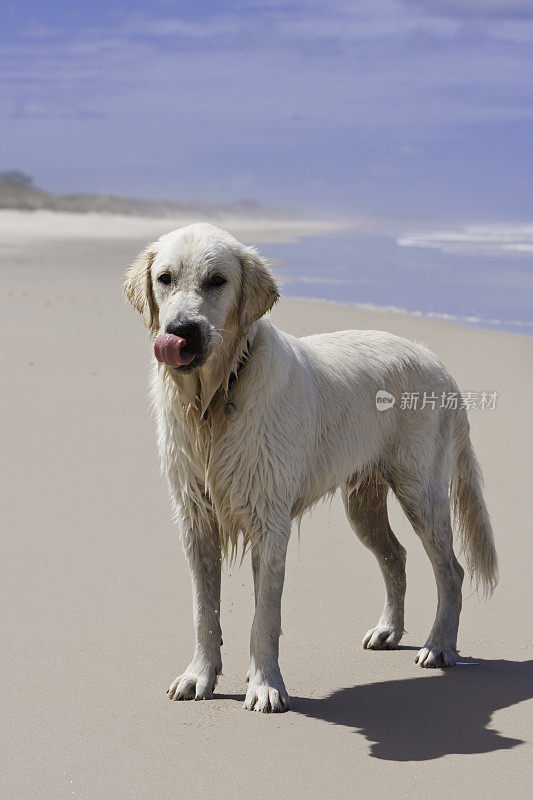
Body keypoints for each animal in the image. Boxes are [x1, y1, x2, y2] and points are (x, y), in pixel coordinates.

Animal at [123, 223, 494, 712]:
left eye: (217, 280)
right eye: (165, 278)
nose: (181, 331)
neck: (217, 397)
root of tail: (437, 362)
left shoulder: (269, 520)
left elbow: (264, 617)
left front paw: (265, 685)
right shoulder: (195, 517)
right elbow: (205, 611)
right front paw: (199, 675)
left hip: (421, 490)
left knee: (451, 570)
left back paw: (439, 646)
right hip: (363, 502)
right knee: (395, 556)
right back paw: (388, 630)